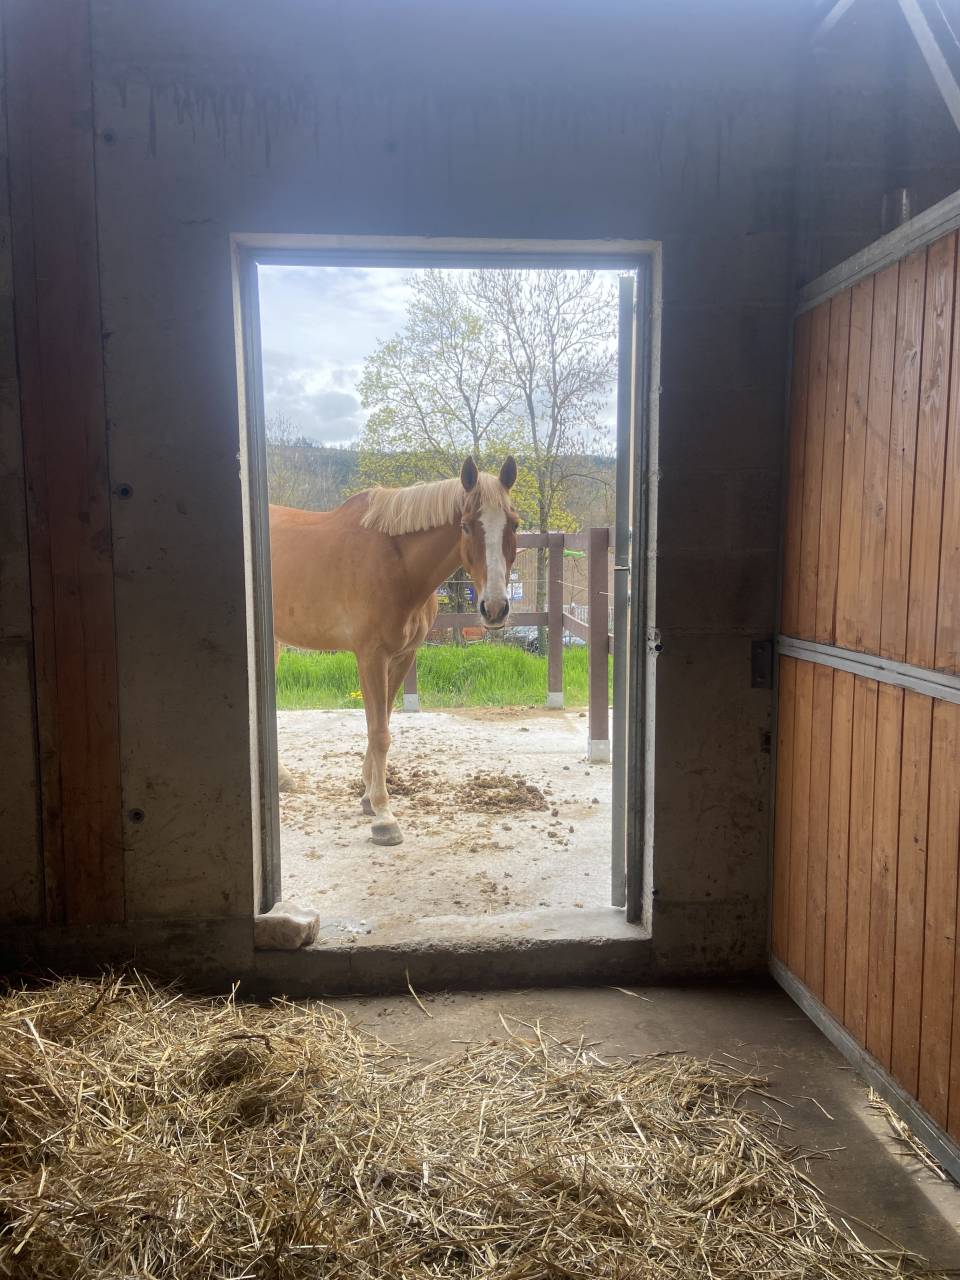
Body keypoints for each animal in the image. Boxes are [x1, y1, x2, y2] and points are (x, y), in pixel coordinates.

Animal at [269, 456, 519, 846]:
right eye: (465, 526)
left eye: (515, 524)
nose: (494, 609)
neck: (397, 562)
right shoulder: (371, 656)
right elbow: (379, 733)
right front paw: (384, 816)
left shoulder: (402, 657)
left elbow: (382, 721)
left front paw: (368, 797)